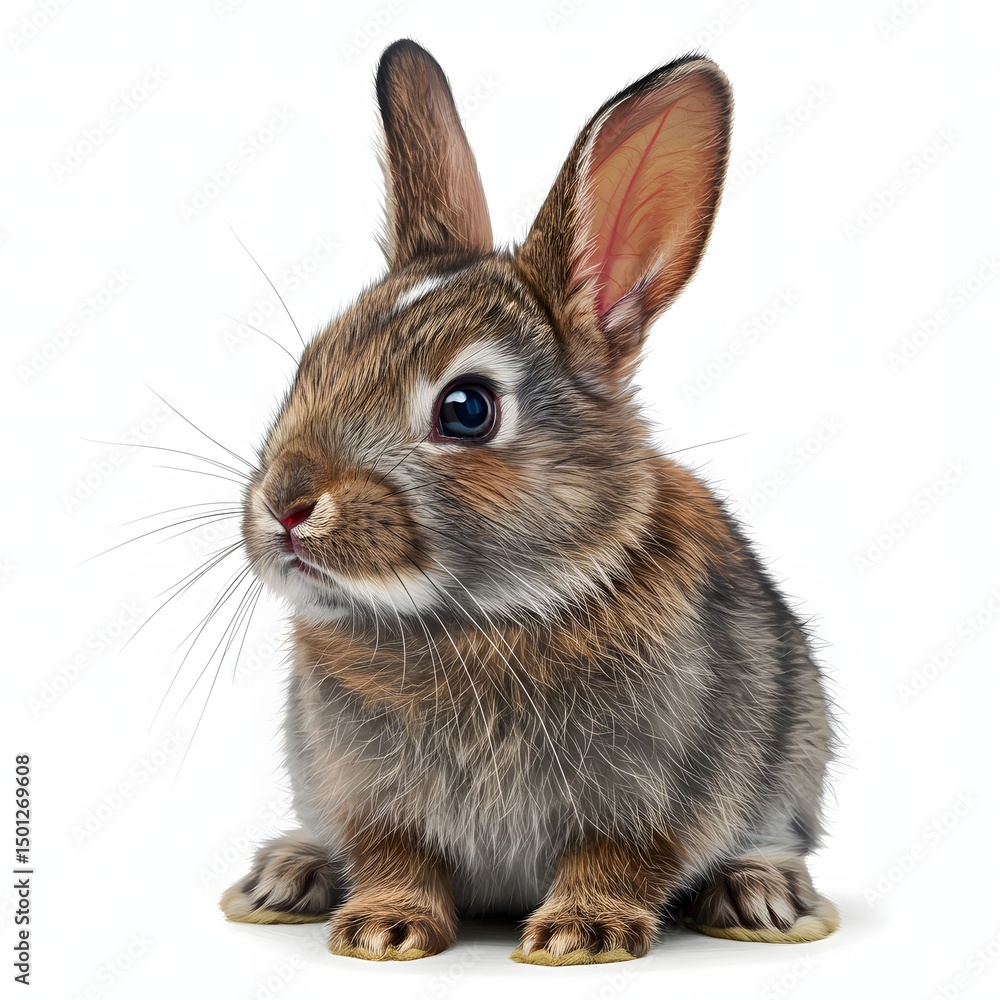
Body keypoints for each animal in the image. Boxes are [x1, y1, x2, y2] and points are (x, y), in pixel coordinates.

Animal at [219, 38, 839, 965]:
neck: (477, 619)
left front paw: (580, 935)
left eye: (467, 409)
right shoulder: (368, 796)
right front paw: (381, 930)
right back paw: (287, 875)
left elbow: (617, 859)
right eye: (313, 364)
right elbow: (396, 857)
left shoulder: (651, 790)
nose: (287, 507)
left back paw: (761, 895)